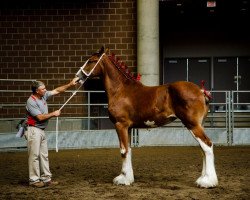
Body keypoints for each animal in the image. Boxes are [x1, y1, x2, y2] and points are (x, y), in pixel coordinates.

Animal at [79, 46, 218, 188]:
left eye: (91, 61)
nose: (78, 76)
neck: (121, 90)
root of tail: (201, 91)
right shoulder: (128, 128)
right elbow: (129, 150)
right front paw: (128, 178)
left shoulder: (120, 125)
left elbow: (123, 151)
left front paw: (123, 179)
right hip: (198, 125)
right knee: (203, 148)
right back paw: (203, 179)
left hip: (192, 125)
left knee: (207, 146)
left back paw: (207, 182)